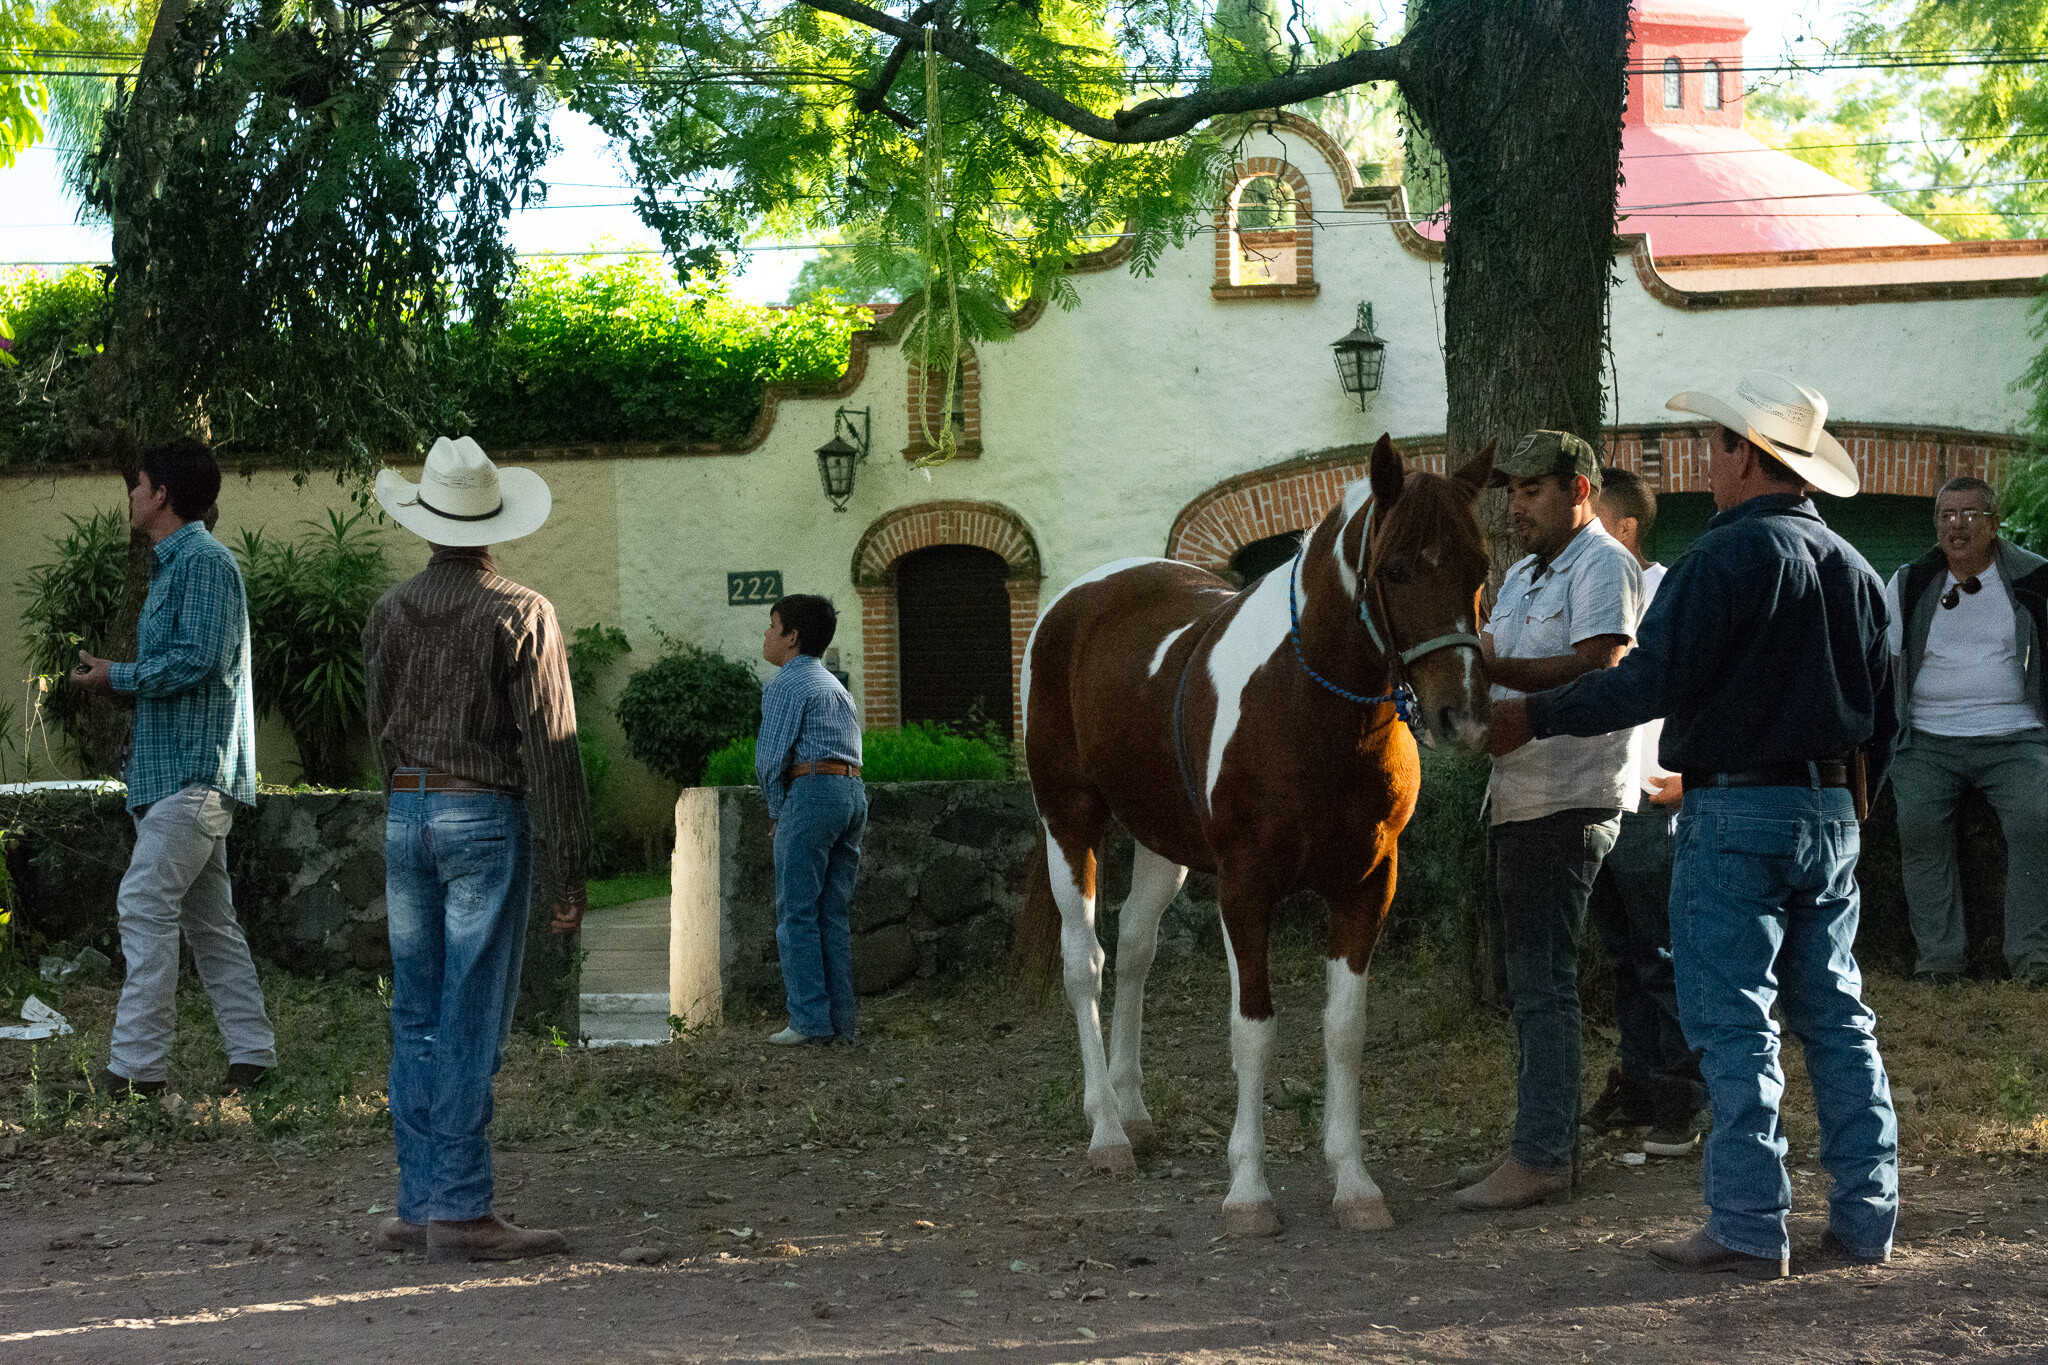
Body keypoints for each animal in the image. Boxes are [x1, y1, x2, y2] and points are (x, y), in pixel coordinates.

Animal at [1015, 433, 1495, 1237]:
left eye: (1481, 565)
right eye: (1396, 567)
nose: (1460, 711)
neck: (1309, 709)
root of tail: (1072, 603)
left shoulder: (1370, 882)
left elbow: (1344, 1026)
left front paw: (1354, 1182)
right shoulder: (1245, 887)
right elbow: (1254, 1029)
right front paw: (1248, 1190)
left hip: (1160, 841)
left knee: (1136, 948)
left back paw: (1134, 1109)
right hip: (1069, 817)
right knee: (1086, 960)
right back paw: (1108, 1131)